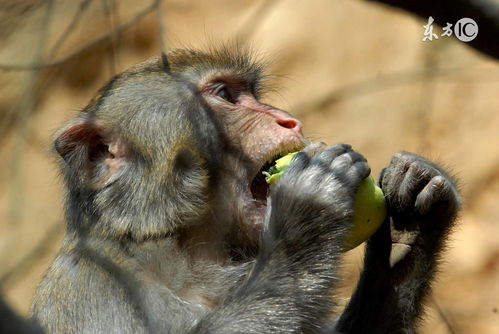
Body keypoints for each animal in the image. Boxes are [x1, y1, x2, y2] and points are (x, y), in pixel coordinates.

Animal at [30, 45, 460, 332]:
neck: (177, 249)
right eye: (225, 95)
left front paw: (414, 219)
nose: (288, 119)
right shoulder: (91, 286)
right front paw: (302, 219)